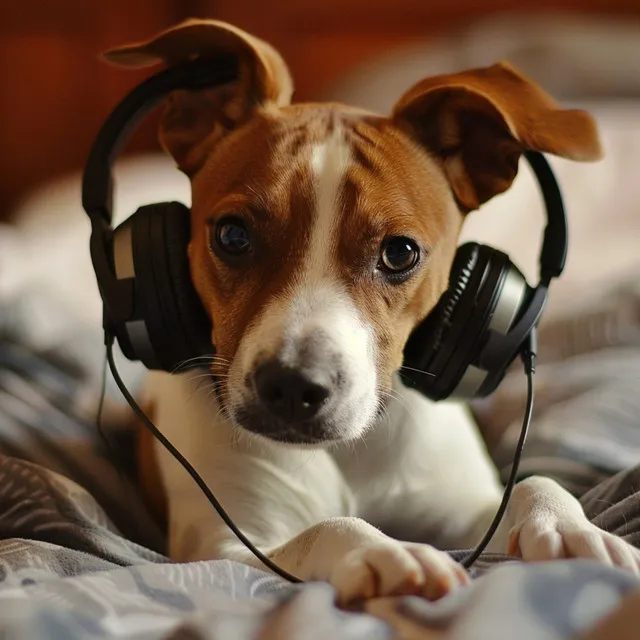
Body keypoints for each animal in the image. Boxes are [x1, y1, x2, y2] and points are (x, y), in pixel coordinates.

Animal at [104, 20, 640, 604]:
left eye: (400, 253)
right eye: (233, 236)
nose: (293, 385)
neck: (351, 451)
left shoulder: (466, 509)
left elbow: (532, 482)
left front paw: (569, 526)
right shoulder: (225, 544)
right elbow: (327, 527)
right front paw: (385, 551)